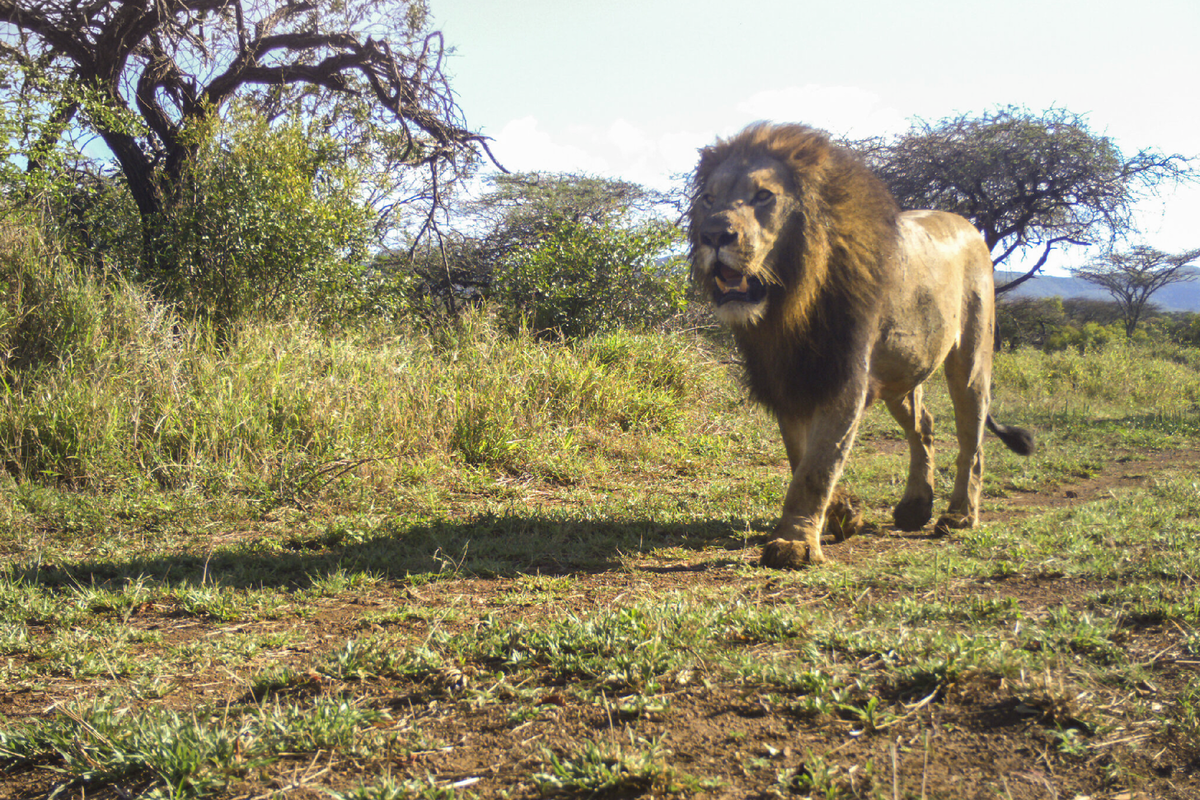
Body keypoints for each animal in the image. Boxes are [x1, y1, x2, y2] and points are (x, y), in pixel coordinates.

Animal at [691, 122, 1036, 568]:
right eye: (708, 199)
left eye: (764, 195)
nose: (714, 234)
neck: (789, 304)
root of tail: (968, 225)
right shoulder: (791, 381)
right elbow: (801, 456)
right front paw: (843, 516)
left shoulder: (845, 379)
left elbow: (817, 466)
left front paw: (794, 543)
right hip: (902, 373)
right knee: (924, 426)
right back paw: (915, 507)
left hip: (971, 358)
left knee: (971, 439)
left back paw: (959, 515)